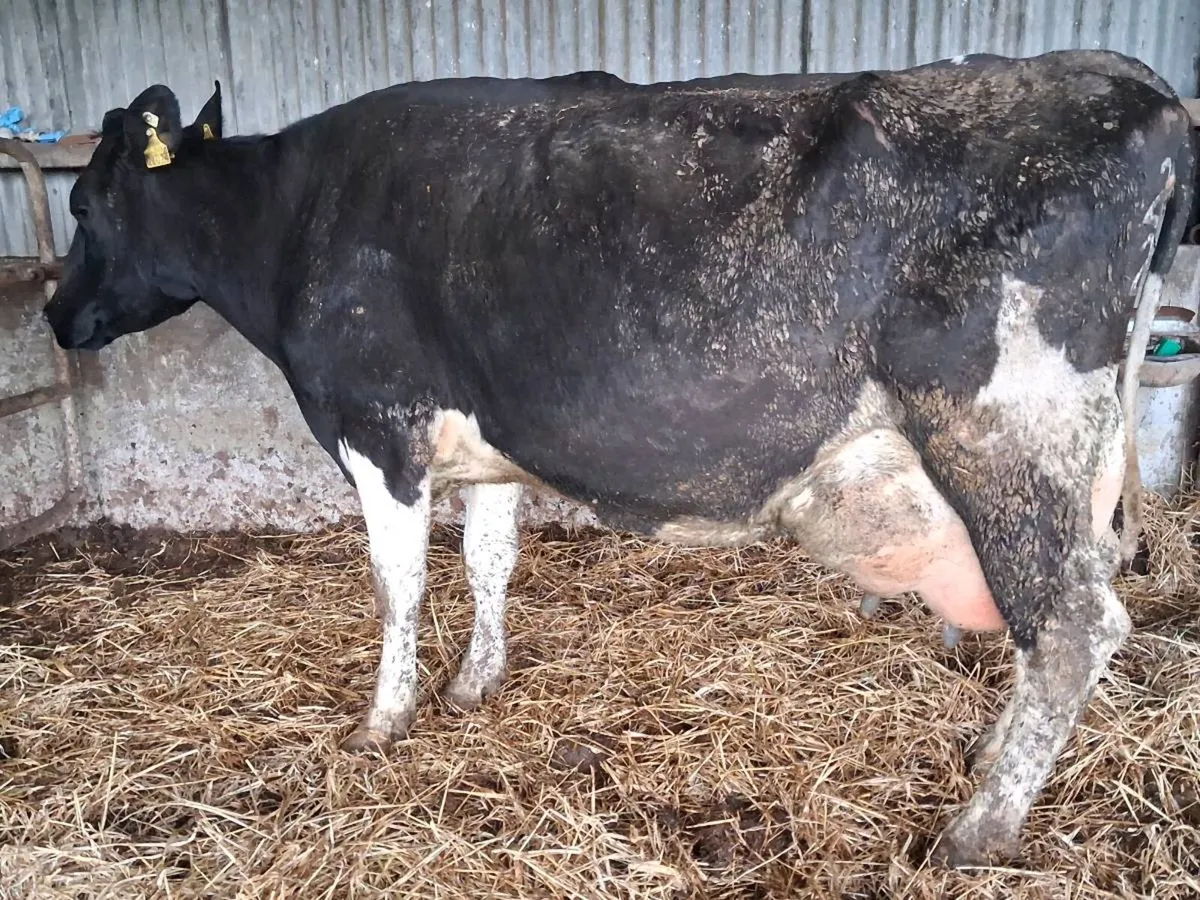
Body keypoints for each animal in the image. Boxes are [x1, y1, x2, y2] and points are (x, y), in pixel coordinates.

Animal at [41, 49, 1196, 868]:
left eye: (85, 206)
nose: (54, 318)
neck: (294, 220)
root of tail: (1130, 84)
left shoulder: (377, 426)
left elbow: (398, 585)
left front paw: (383, 722)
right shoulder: (490, 443)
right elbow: (489, 564)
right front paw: (474, 686)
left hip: (1007, 439)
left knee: (1073, 625)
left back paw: (976, 831)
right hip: (1078, 460)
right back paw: (992, 759)